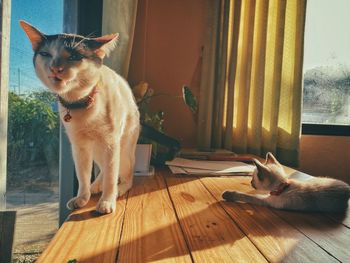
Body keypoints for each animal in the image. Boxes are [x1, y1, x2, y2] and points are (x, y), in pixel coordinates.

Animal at [20, 20, 139, 214]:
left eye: (75, 56)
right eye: (45, 54)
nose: (55, 68)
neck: (80, 103)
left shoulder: (110, 143)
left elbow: (111, 177)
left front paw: (107, 201)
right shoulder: (79, 147)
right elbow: (83, 176)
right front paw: (82, 198)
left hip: (123, 149)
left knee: (125, 175)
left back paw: (118, 190)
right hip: (98, 151)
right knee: (104, 170)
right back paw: (95, 186)